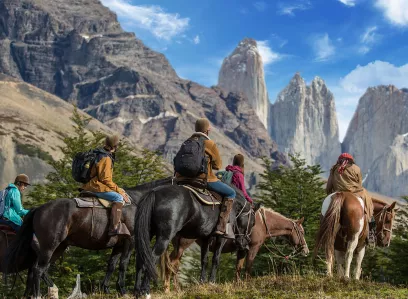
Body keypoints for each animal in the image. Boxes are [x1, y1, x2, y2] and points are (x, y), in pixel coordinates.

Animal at [6, 177, 172, 298]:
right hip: (49, 247)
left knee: (39, 269)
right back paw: (38, 295)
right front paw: (122, 290)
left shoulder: (118, 245)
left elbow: (111, 265)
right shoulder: (129, 241)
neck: (136, 203)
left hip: (58, 248)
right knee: (38, 270)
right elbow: (123, 264)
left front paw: (106, 289)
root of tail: (39, 209)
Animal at [163, 207, 310, 292]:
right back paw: (172, 289)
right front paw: (246, 284)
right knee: (172, 263)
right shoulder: (252, 248)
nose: (306, 251)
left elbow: (238, 267)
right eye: (302, 232)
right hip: (183, 244)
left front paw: (237, 285)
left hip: (178, 246)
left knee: (172, 263)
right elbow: (248, 266)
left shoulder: (242, 250)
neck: (261, 223)